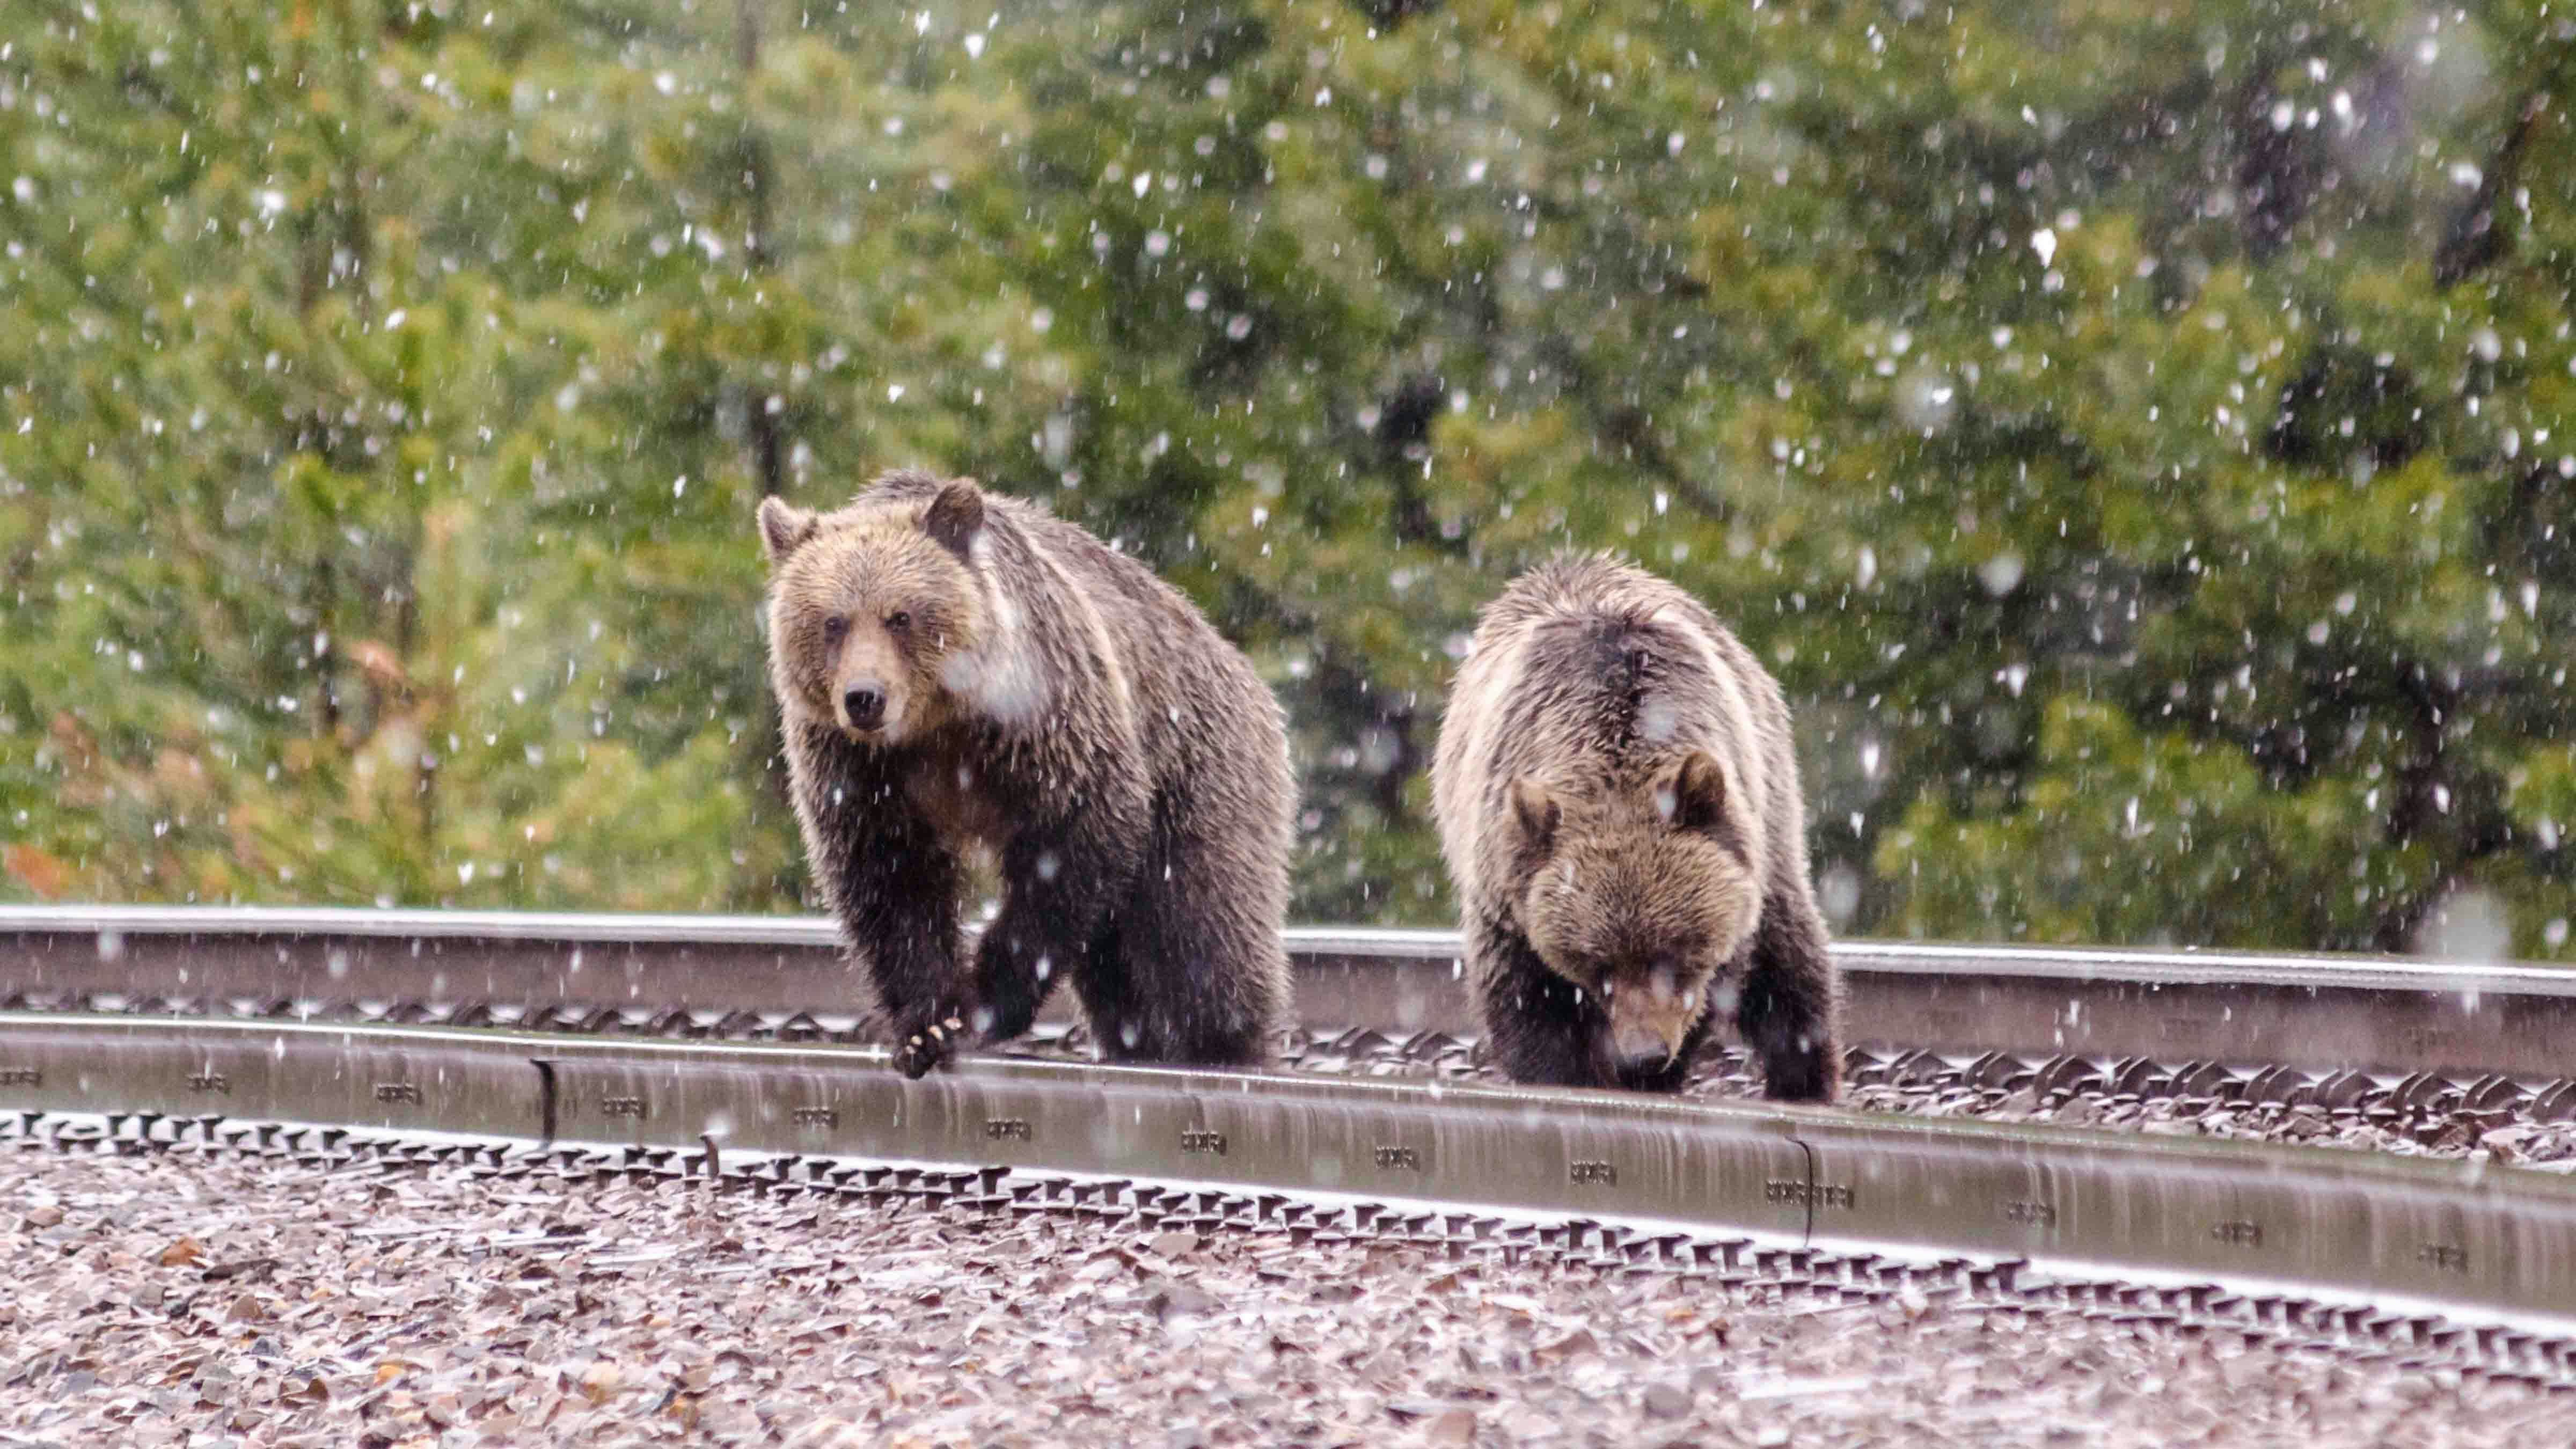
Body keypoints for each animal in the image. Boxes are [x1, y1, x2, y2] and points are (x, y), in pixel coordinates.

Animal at [756, 469, 1295, 1078]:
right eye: (833, 622)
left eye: (901, 616)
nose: (864, 698)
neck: (939, 727)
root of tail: (1238, 664)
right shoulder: (860, 769)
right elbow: (890, 878)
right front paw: (927, 1026)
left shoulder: (1043, 720)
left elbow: (1074, 837)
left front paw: (987, 1004)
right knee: (1120, 968)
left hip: (1200, 769)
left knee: (1205, 931)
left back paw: (1229, 1048)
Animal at [1429, 553, 1841, 1100]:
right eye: (1597, 963)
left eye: (1671, 953)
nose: (1644, 1053)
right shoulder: (1508, 881)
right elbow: (1528, 1001)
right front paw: (1567, 1075)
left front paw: (1655, 1073)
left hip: (1772, 810)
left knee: (1791, 963)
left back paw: (1804, 1082)